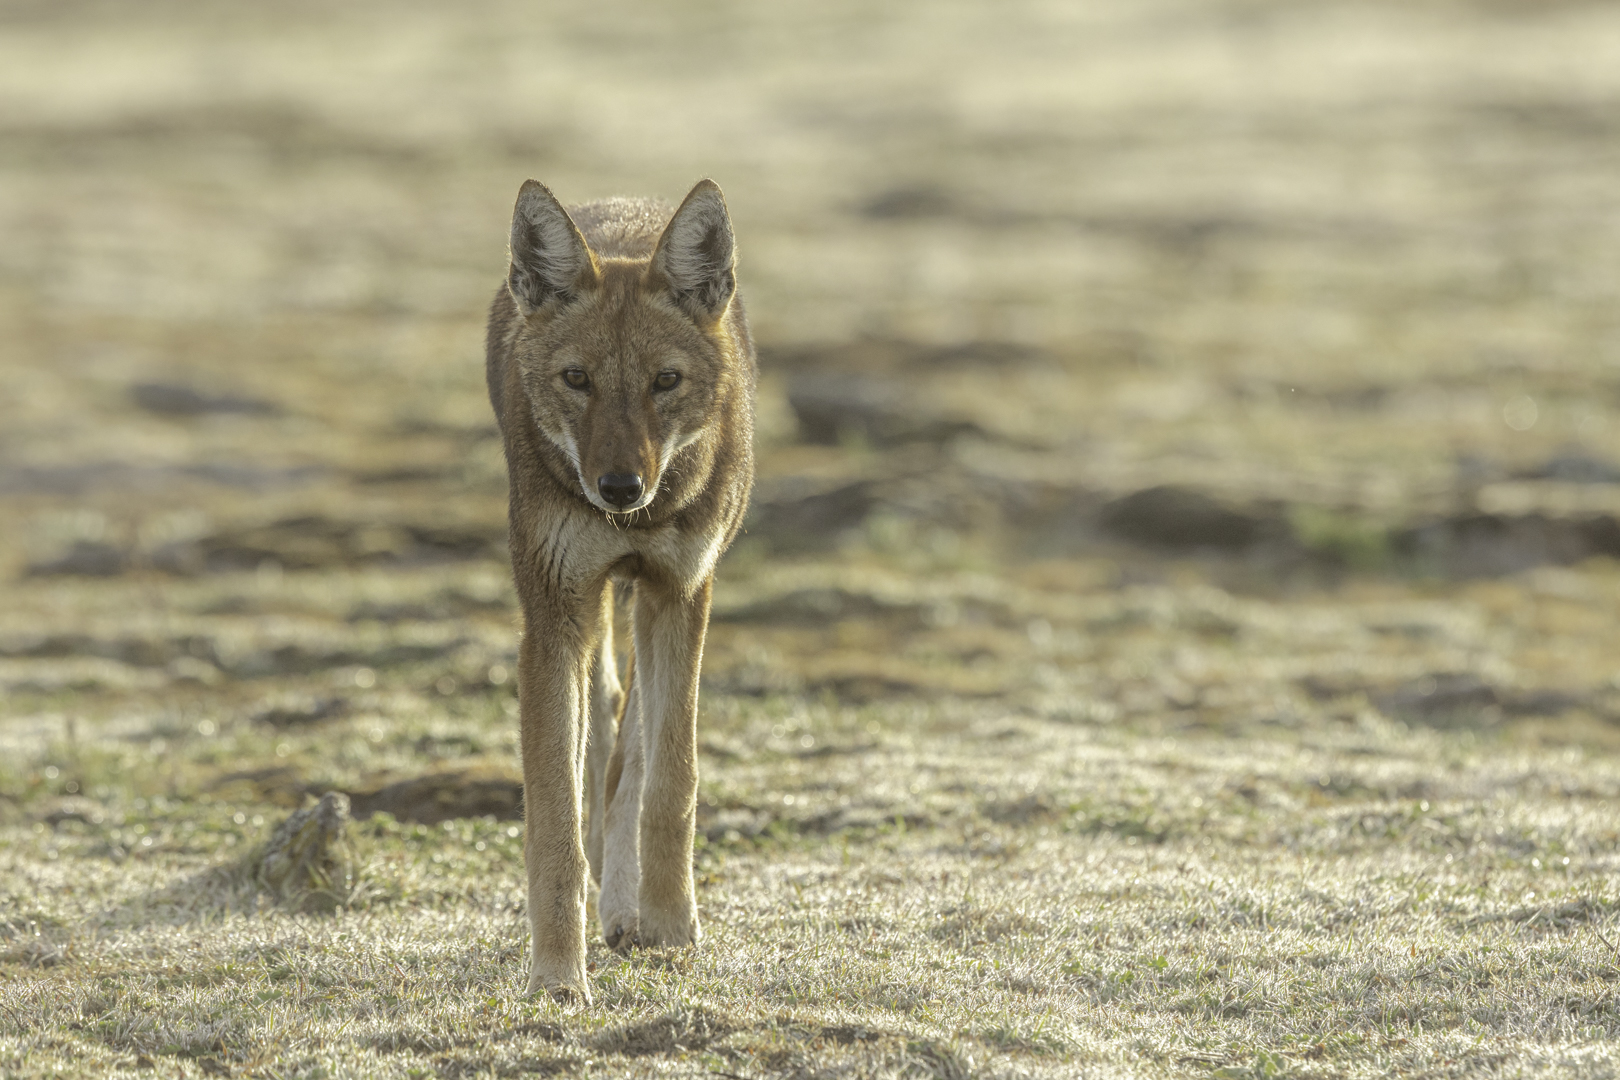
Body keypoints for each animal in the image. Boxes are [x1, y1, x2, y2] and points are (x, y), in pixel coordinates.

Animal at [482, 181, 754, 1003]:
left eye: (665, 381)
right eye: (577, 380)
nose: (620, 487)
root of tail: (623, 203)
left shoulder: (680, 593)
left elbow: (669, 781)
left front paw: (669, 927)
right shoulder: (553, 617)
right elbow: (554, 826)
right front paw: (557, 977)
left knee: (625, 754)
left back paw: (629, 908)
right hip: (593, 611)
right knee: (602, 726)